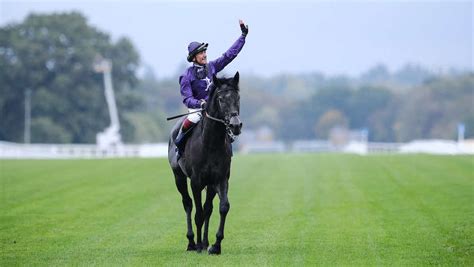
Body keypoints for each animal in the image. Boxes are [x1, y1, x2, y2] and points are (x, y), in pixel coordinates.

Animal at [168, 71, 243, 255]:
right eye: (221, 99)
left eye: (237, 97)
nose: (235, 125)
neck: (211, 144)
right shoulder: (196, 181)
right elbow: (198, 212)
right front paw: (198, 246)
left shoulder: (220, 179)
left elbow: (222, 207)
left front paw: (215, 245)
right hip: (179, 177)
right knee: (188, 204)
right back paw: (191, 242)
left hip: (210, 185)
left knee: (208, 208)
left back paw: (204, 241)